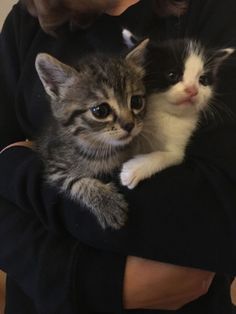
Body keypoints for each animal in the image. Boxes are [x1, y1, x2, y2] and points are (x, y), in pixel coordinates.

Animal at [35, 39, 148, 231]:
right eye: (100, 111)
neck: (102, 147)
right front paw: (107, 203)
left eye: (136, 101)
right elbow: (74, 182)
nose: (129, 125)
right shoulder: (53, 166)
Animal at [121, 38, 234, 188]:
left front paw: (135, 168)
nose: (192, 90)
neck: (166, 116)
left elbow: (167, 155)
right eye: (172, 75)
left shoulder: (178, 146)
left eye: (203, 80)